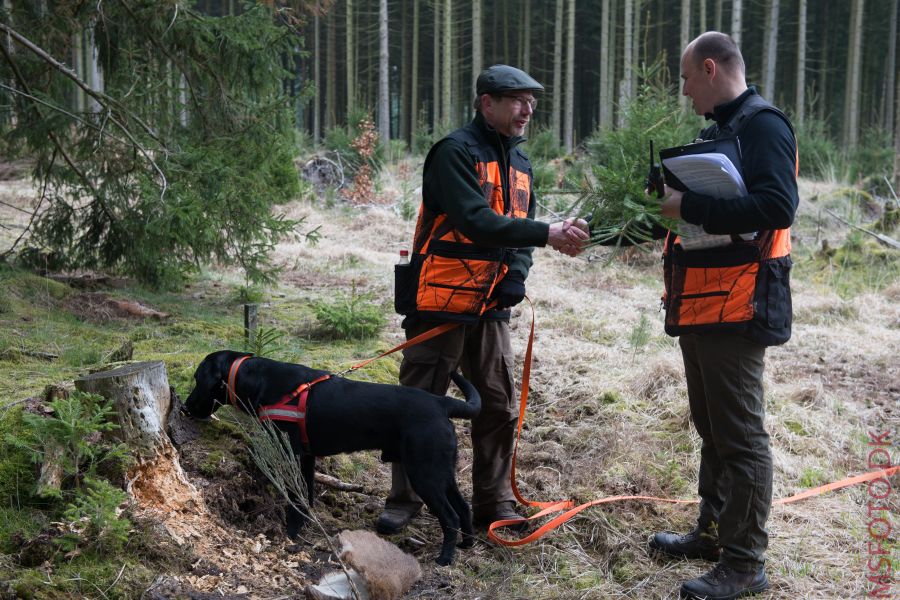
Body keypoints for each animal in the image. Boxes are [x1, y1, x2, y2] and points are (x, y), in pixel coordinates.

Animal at [179, 350, 482, 564]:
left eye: (197, 379)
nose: (184, 407)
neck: (260, 380)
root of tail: (442, 402)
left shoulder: (293, 455)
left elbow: (295, 501)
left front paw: (290, 535)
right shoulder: (307, 458)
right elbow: (307, 497)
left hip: (424, 473)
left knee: (450, 516)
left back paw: (445, 559)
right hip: (442, 472)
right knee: (463, 507)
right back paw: (467, 545)